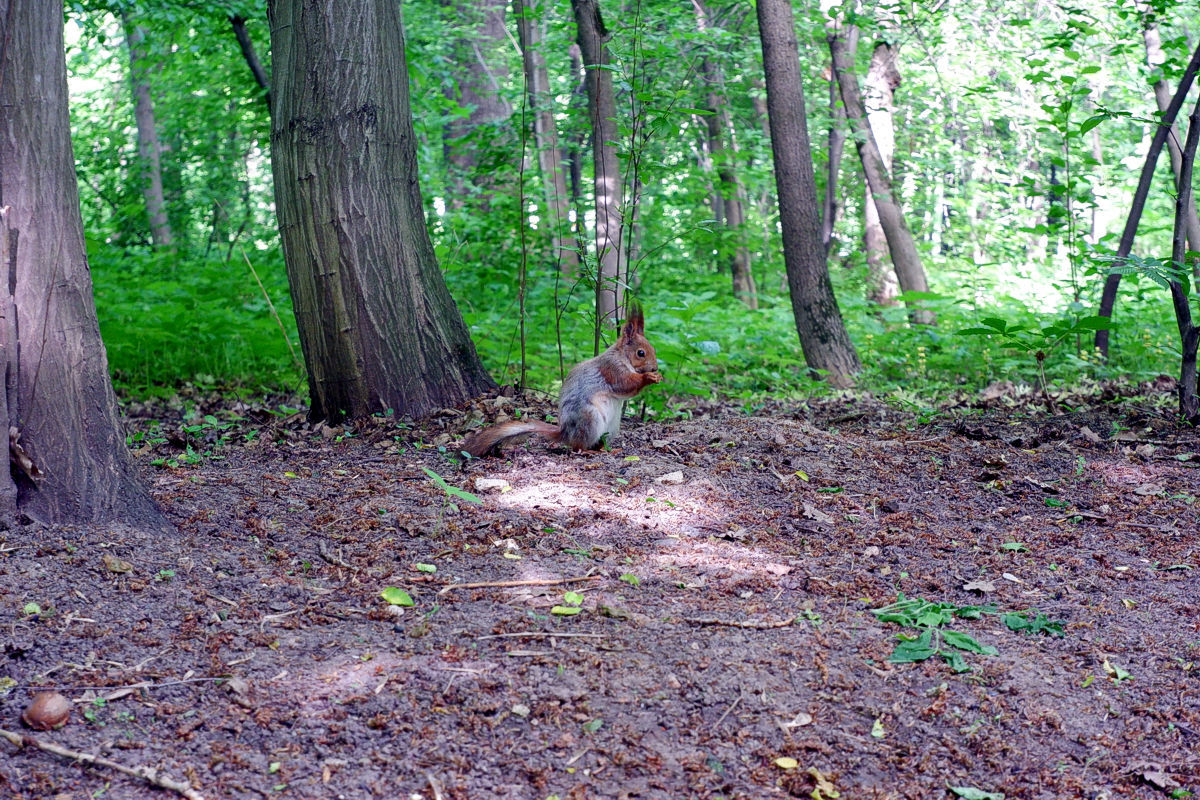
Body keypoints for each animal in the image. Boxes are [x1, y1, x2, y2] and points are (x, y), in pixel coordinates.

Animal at [463, 304, 662, 455]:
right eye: (641, 353)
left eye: (653, 349)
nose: (655, 368)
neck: (622, 357)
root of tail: (565, 434)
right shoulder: (611, 369)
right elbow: (625, 384)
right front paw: (648, 377)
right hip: (589, 418)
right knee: (577, 446)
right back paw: (587, 450)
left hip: (613, 426)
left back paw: (607, 449)